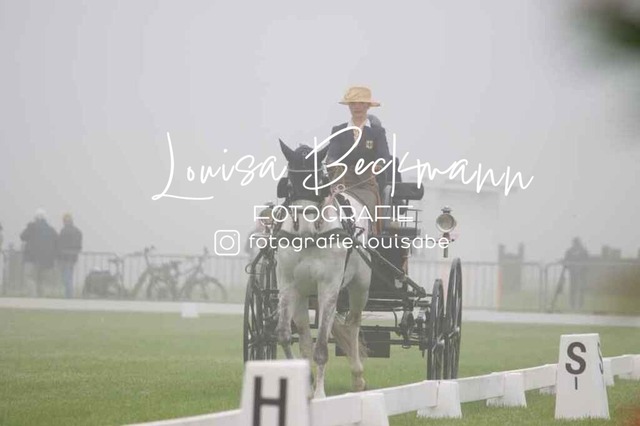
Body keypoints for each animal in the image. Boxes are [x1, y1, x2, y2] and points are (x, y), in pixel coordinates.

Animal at [275, 140, 372, 398]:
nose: (306, 228)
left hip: (360, 287)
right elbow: (287, 337)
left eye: (320, 182)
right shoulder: (287, 285)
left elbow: (320, 348)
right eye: (289, 184)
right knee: (306, 337)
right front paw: (304, 388)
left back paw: (358, 377)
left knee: (352, 325)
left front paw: (319, 394)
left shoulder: (329, 287)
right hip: (304, 295)